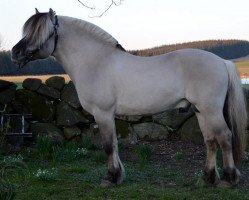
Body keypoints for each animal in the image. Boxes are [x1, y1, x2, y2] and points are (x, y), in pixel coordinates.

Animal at [11, 8, 247, 187]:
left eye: (42, 33)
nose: (15, 52)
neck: (96, 61)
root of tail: (222, 61)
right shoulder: (108, 115)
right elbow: (114, 144)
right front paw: (118, 175)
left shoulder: (103, 113)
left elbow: (108, 145)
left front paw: (111, 178)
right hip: (200, 110)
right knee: (210, 140)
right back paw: (208, 177)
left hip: (210, 110)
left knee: (225, 137)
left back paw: (229, 179)